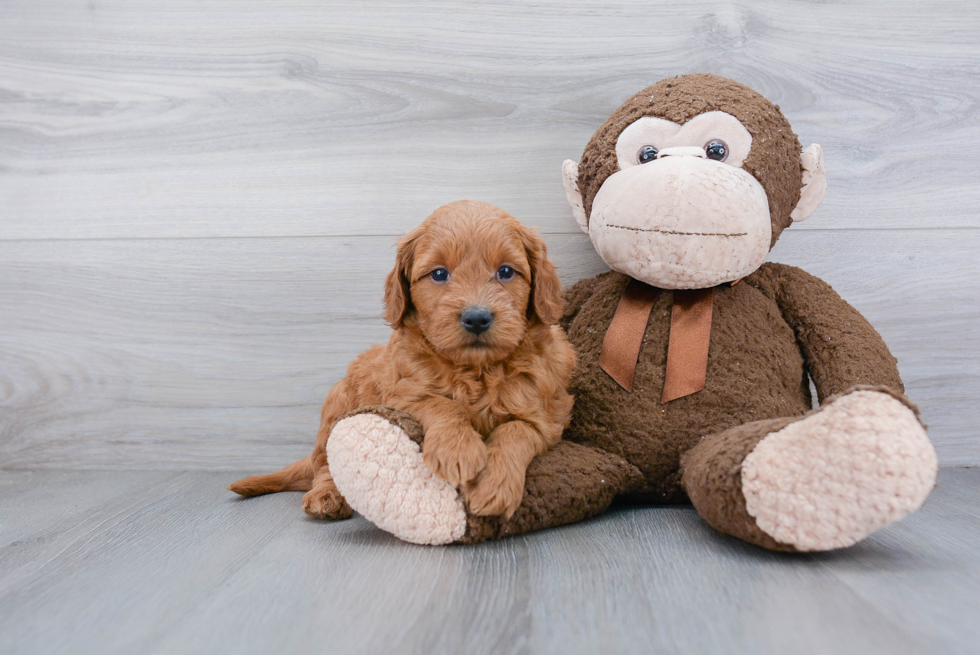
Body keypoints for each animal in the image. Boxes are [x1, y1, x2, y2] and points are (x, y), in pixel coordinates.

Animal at [229, 200, 576, 524]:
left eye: (505, 271)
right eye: (439, 274)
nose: (477, 318)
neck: (475, 369)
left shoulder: (544, 416)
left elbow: (514, 432)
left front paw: (494, 484)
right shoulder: (402, 397)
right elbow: (443, 405)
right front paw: (458, 451)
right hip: (337, 406)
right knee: (325, 464)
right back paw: (326, 497)